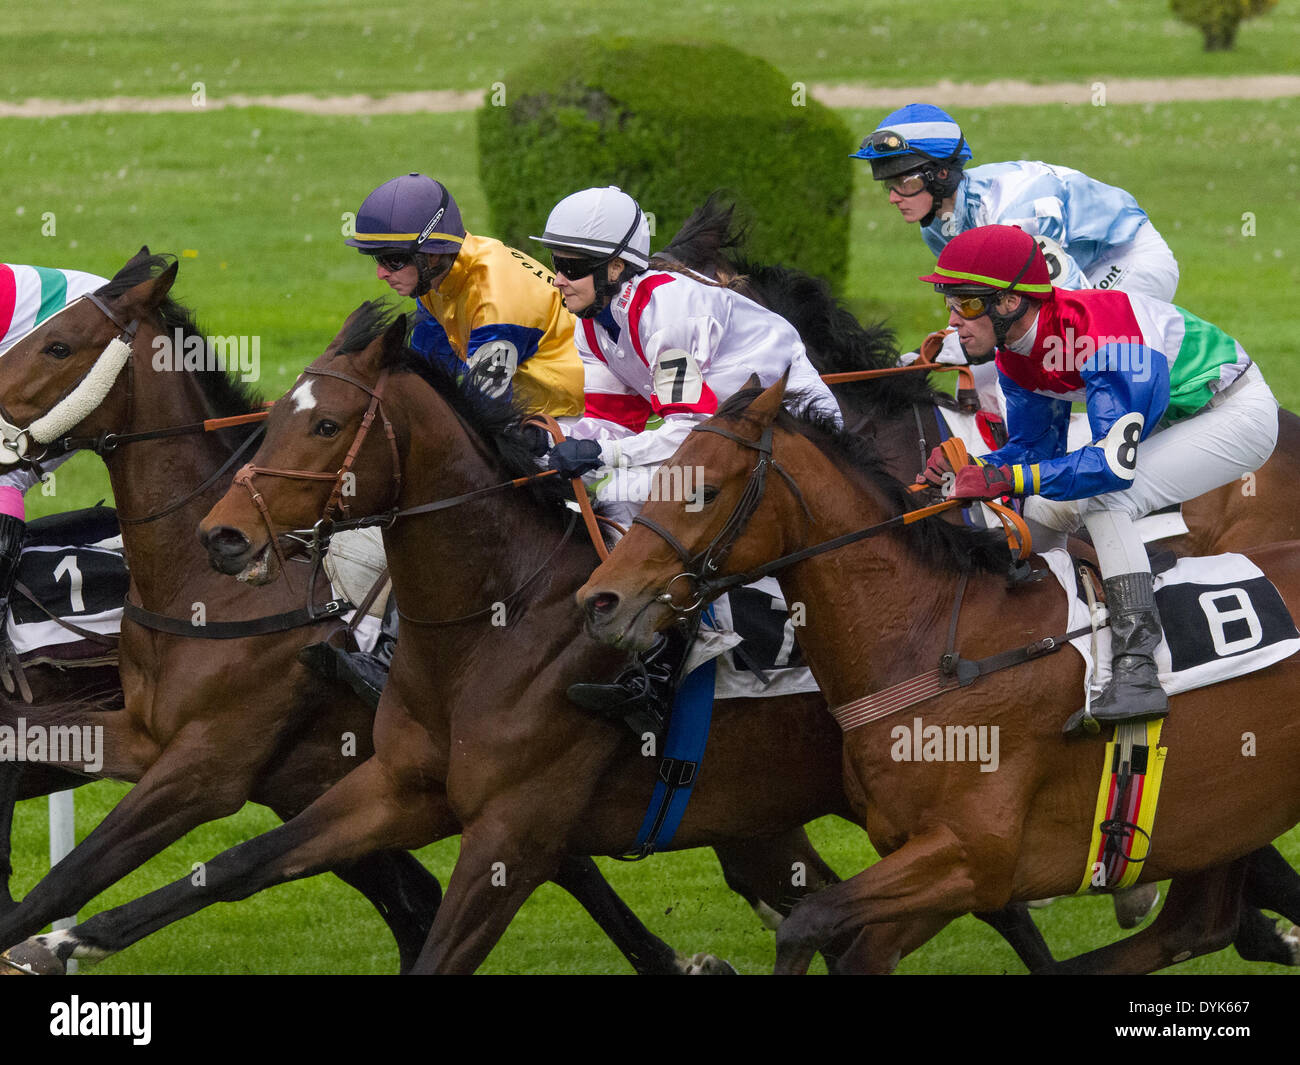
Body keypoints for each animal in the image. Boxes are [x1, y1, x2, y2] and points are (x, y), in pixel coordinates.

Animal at [577, 377, 1300, 972]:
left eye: (702, 489)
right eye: (659, 474)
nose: (600, 598)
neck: (930, 638)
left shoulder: (972, 854)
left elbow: (808, 920)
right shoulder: (932, 863)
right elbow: (850, 944)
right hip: (1228, 819)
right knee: (1197, 926)